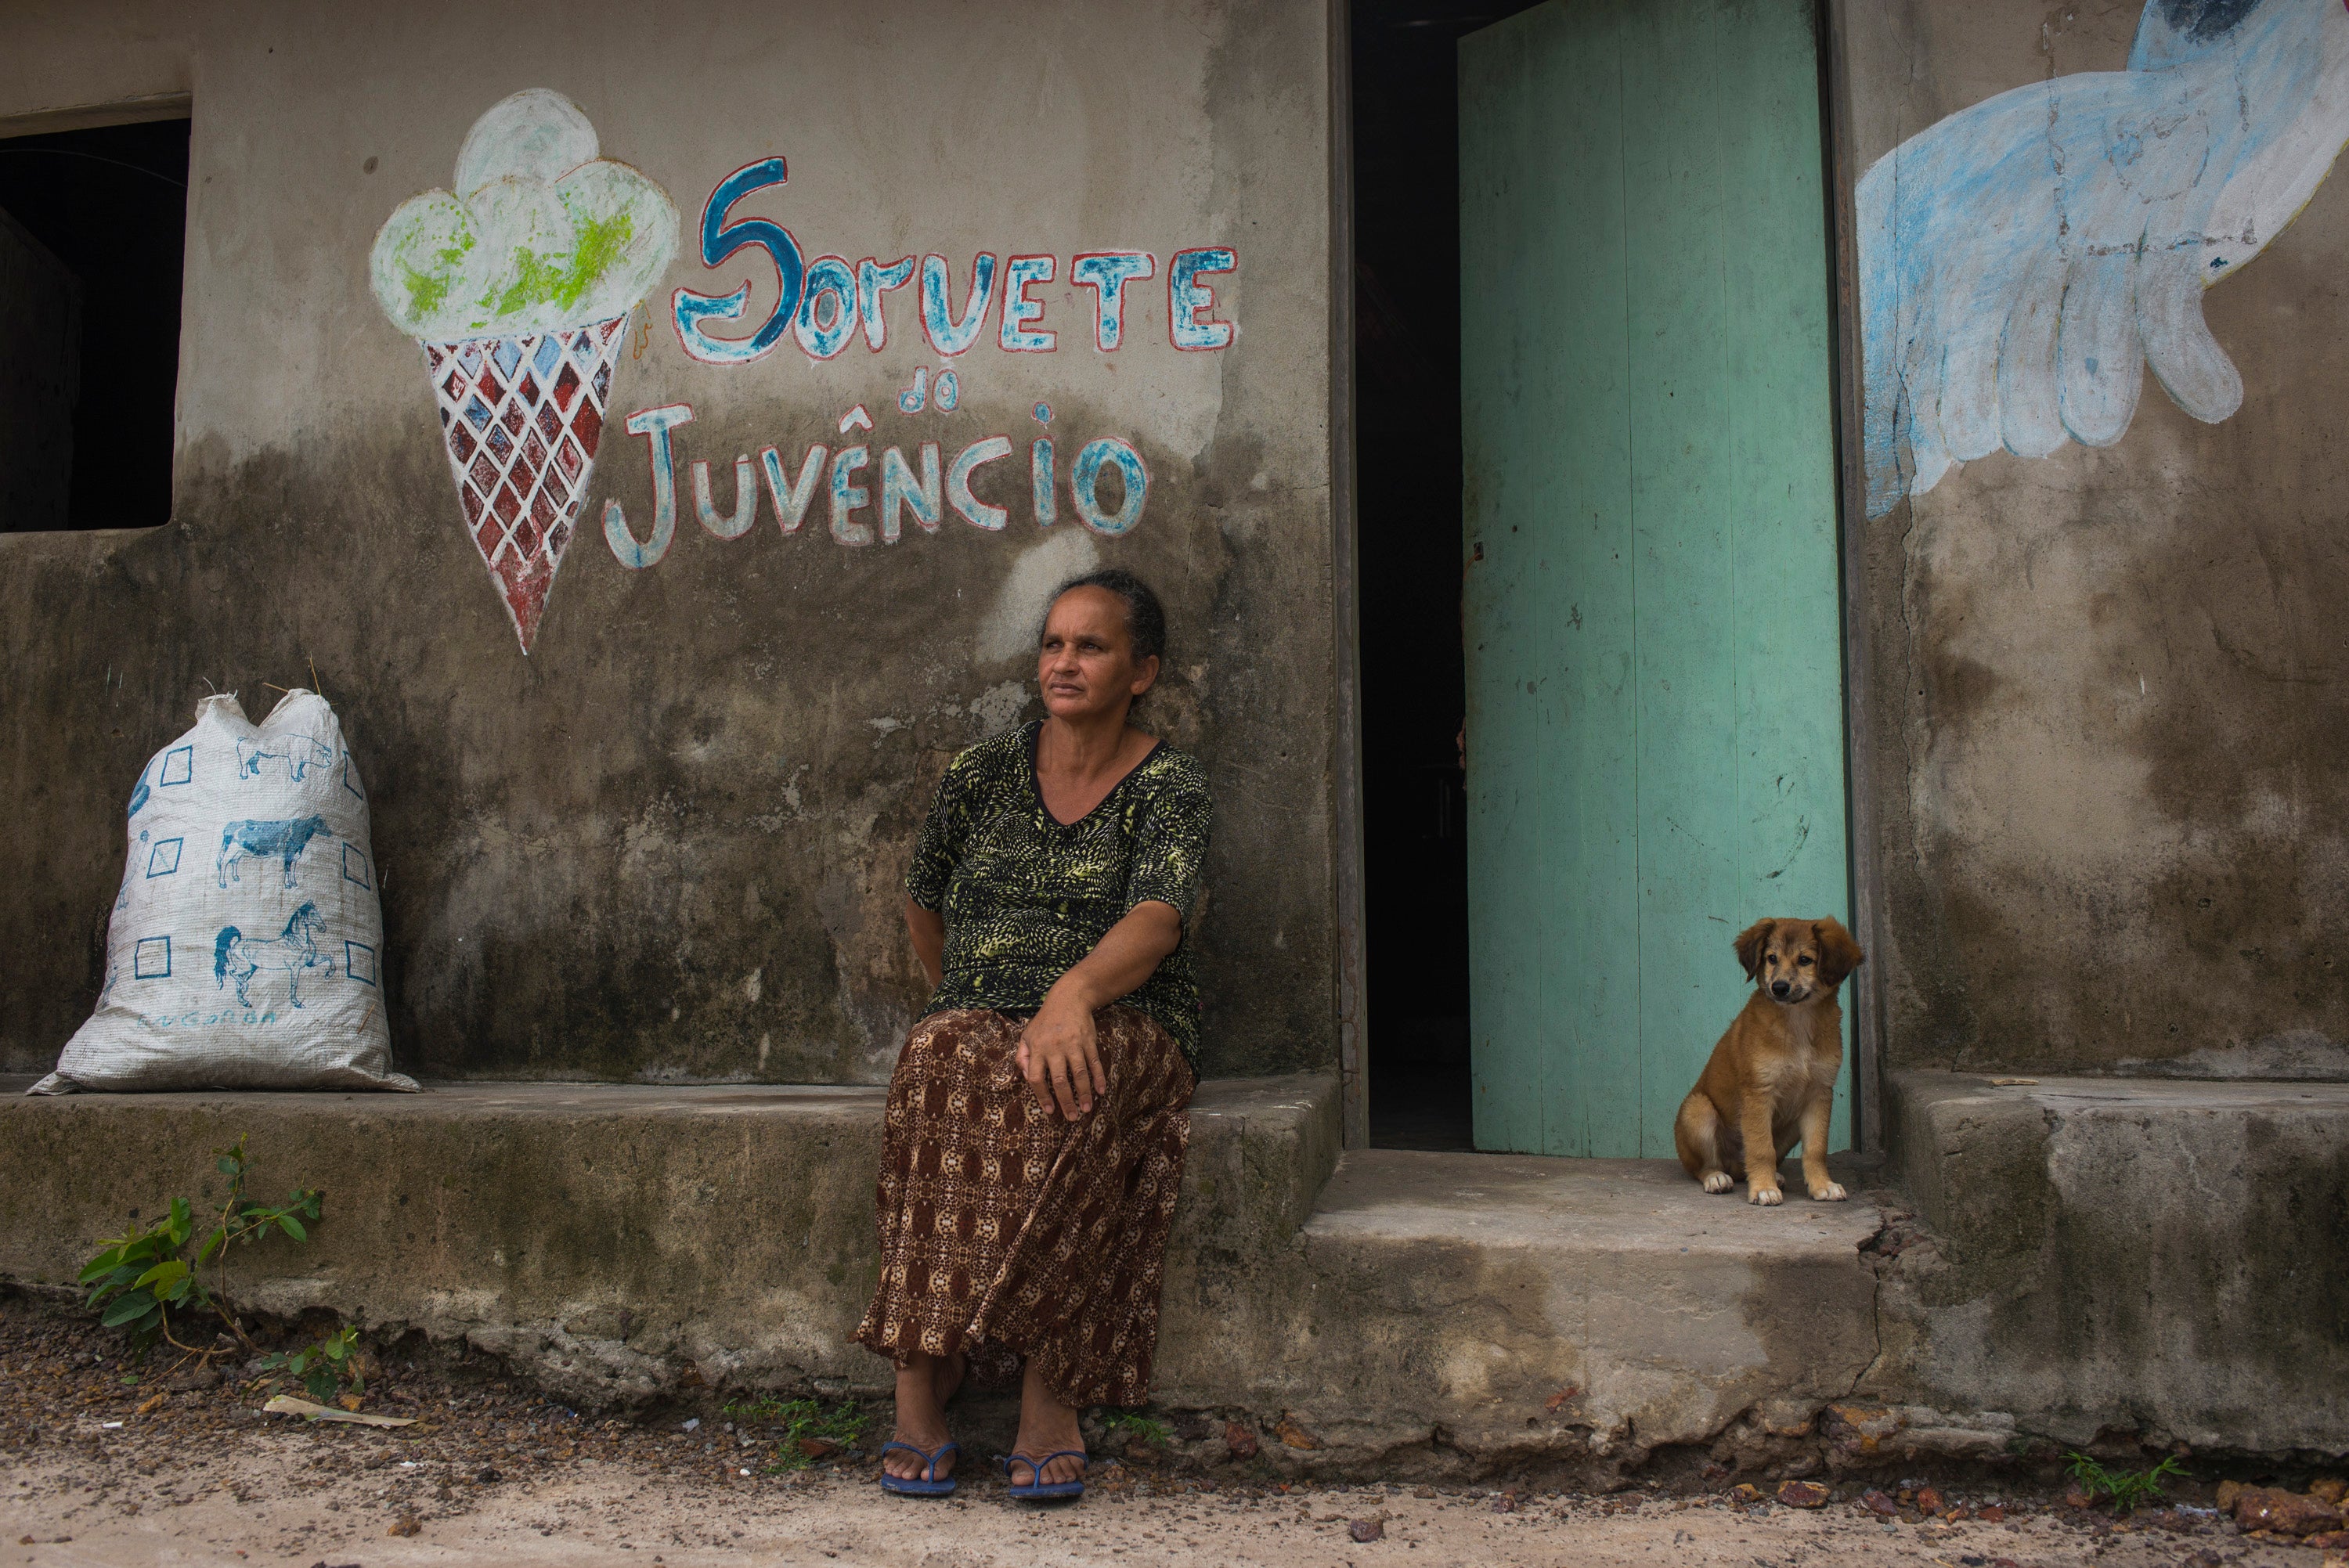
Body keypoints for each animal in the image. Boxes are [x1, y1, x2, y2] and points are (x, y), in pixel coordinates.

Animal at [1672, 910, 1870, 1211]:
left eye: (1805, 960)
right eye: (1771, 958)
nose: (1779, 987)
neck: (1798, 1022)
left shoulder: (1819, 1093)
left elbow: (1816, 1148)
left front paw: (1821, 1185)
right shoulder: (1758, 1093)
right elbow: (1760, 1147)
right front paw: (1763, 1189)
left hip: (1790, 1125)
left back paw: (1771, 1176)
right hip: (1698, 1110)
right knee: (1704, 1166)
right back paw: (1717, 1178)